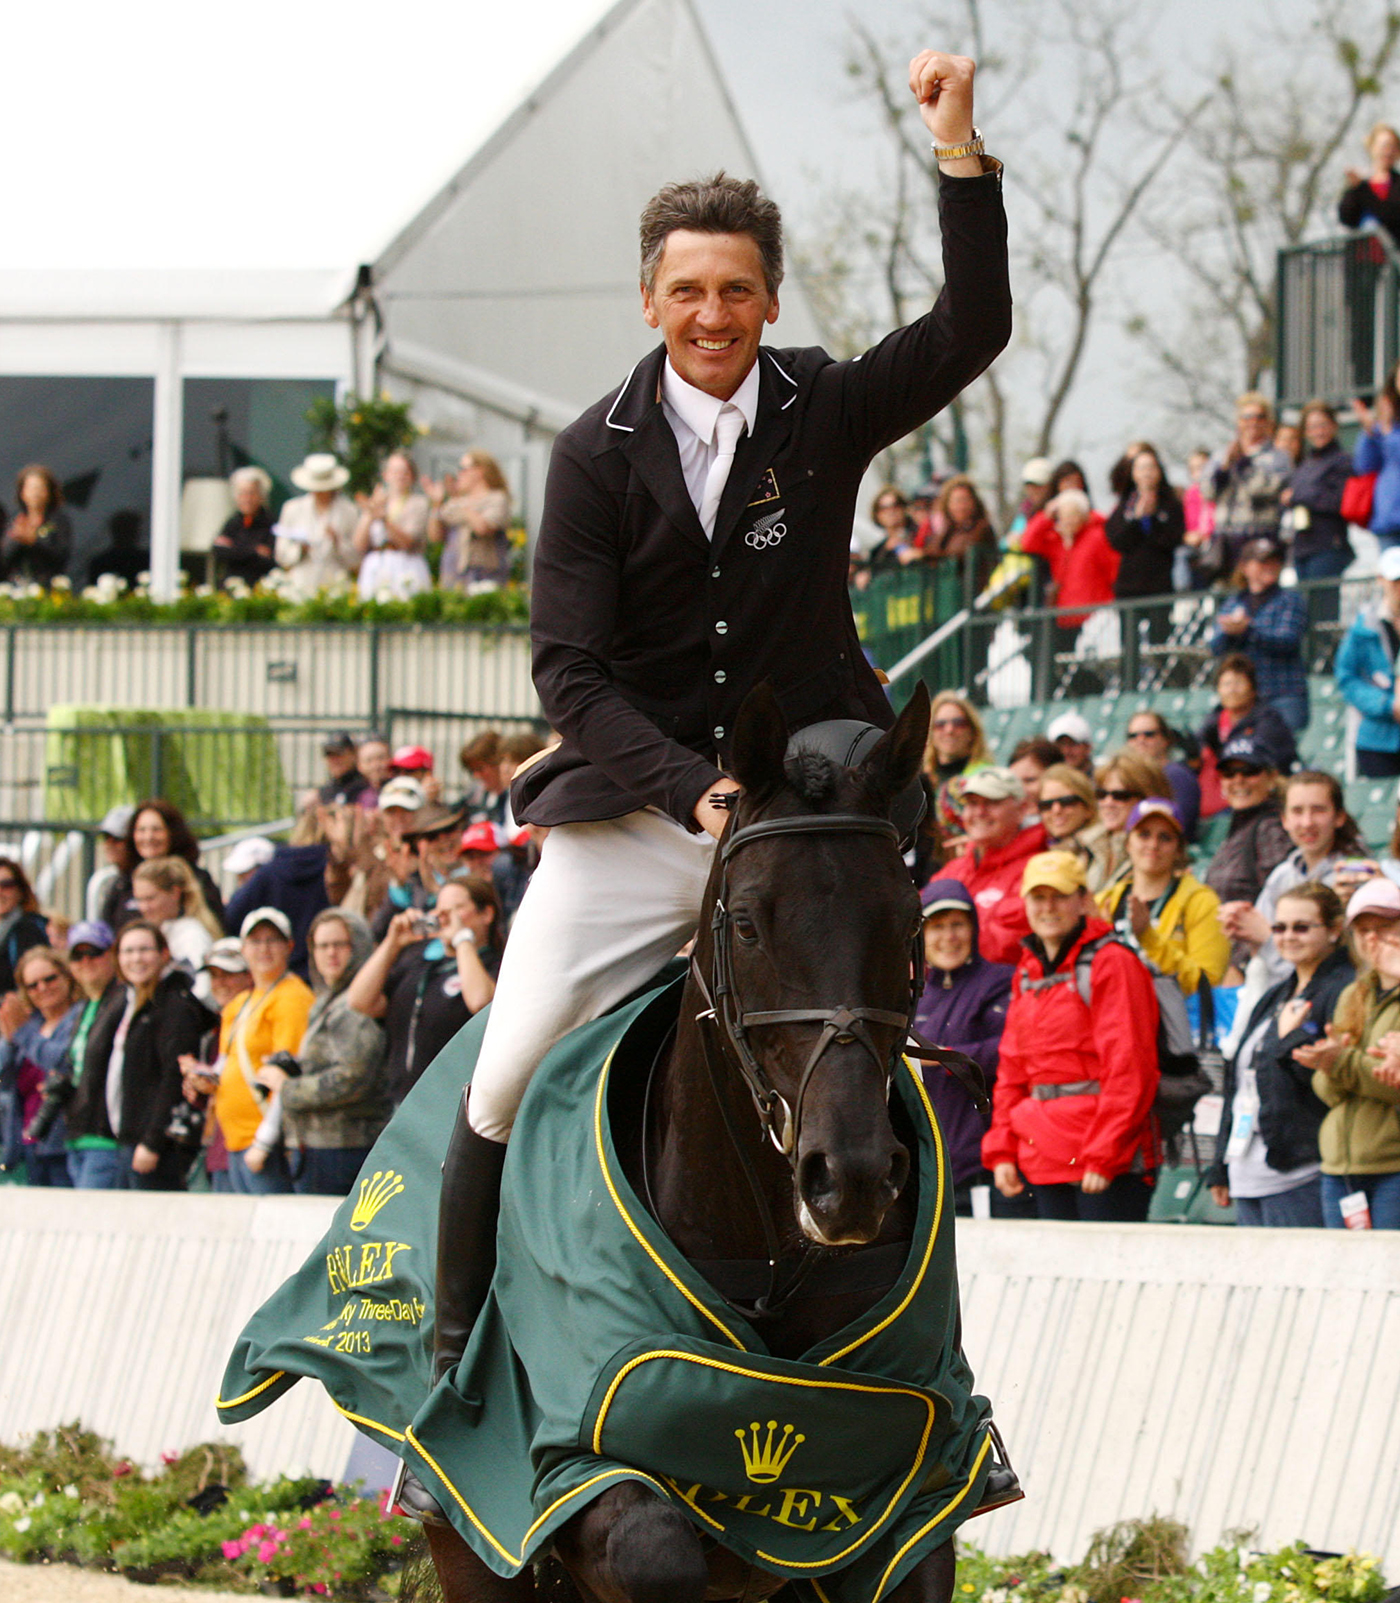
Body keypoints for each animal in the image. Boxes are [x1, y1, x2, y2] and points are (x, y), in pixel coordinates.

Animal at [413, 686, 962, 1603]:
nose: (848, 1178)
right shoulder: (574, 1467)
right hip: (468, 1538)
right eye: (745, 923)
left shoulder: (918, 1491)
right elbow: (655, 1546)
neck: (765, 1252)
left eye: (908, 918)